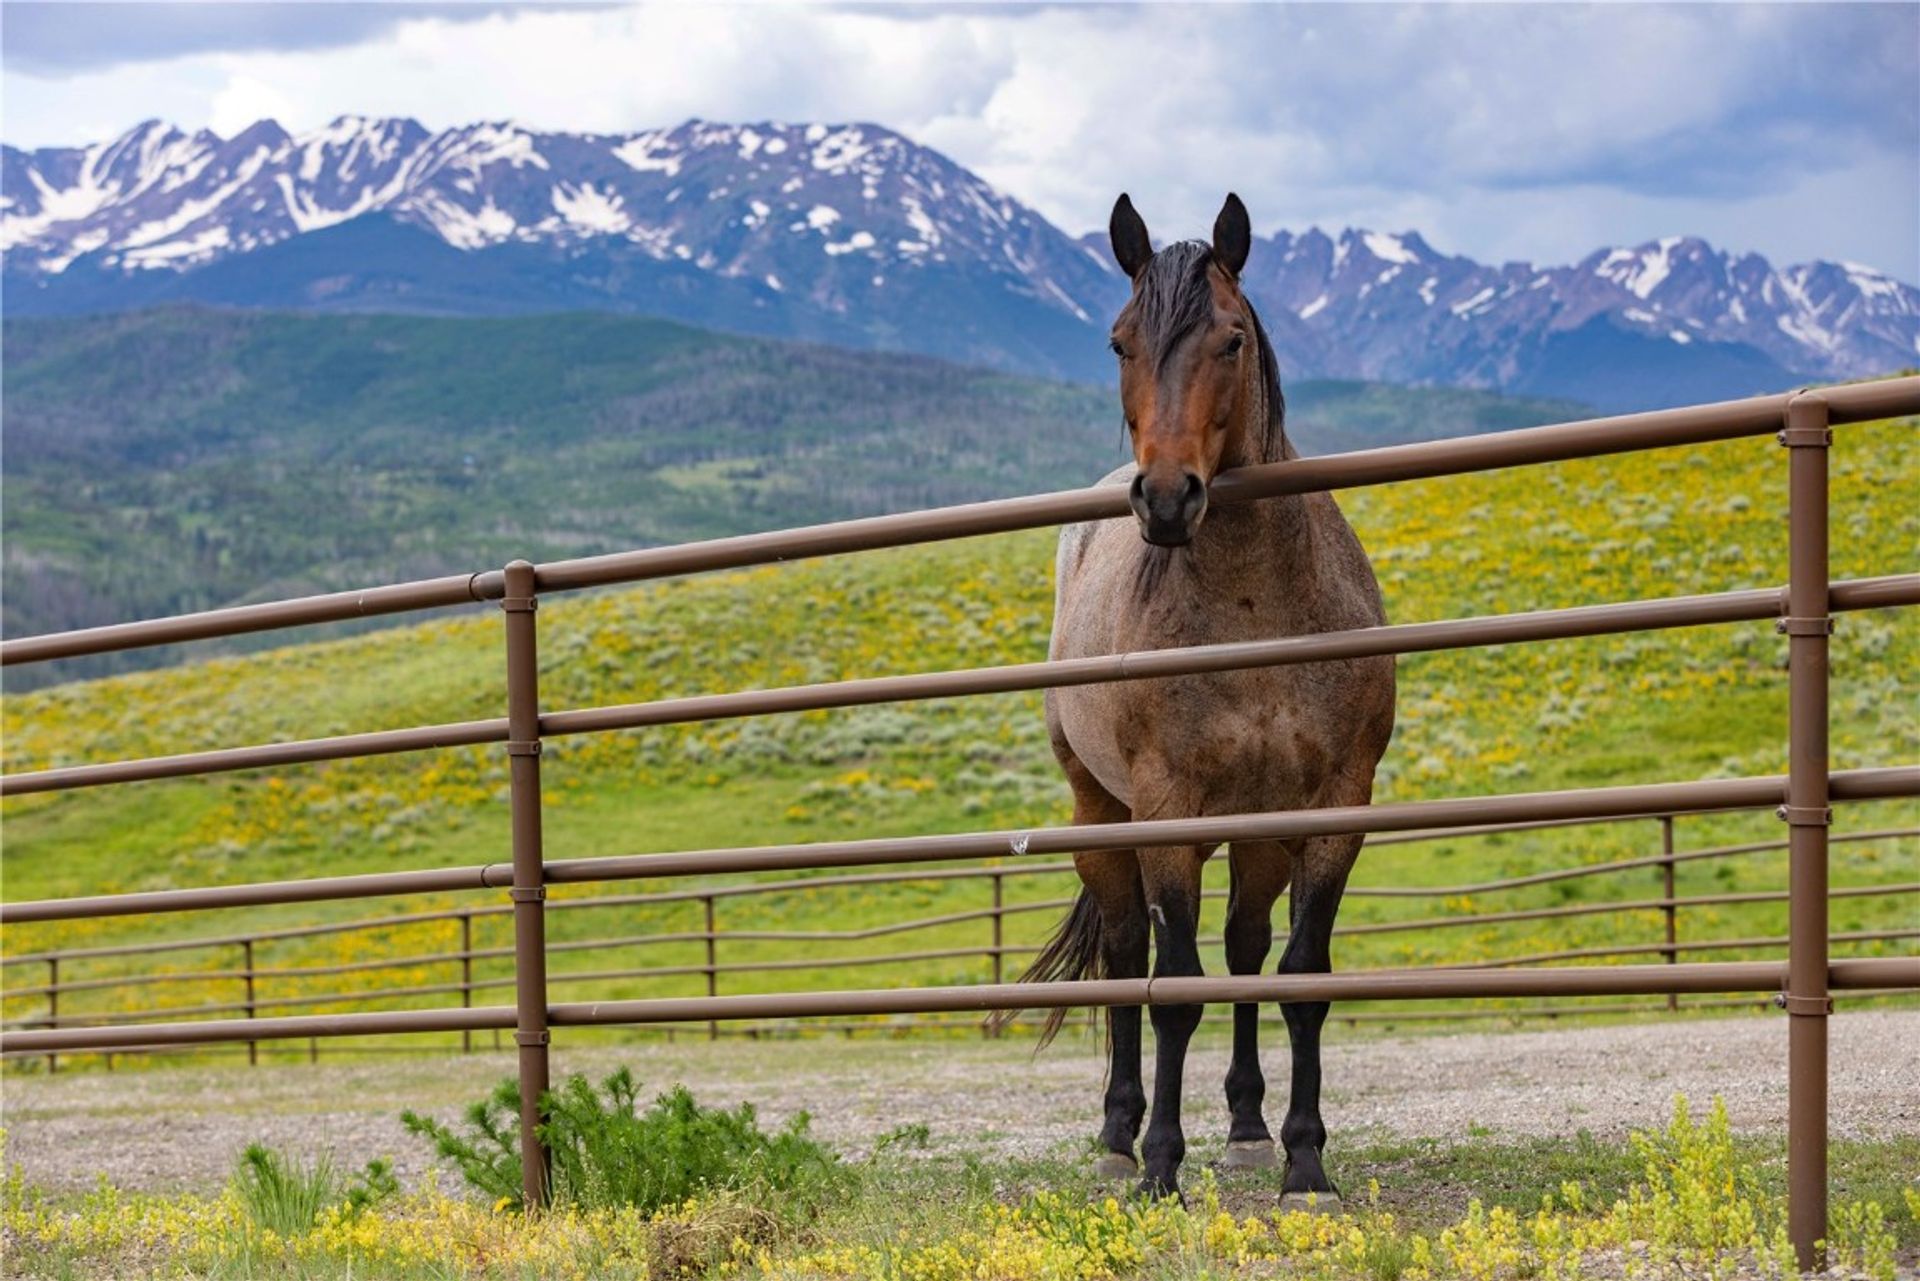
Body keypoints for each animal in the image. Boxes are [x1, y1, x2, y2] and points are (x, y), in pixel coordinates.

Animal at [1006, 190, 1397, 1206]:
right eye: (1118, 341)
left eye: (1230, 338)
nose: (1168, 497)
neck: (1256, 609)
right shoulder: (1168, 810)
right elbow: (1174, 985)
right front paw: (1159, 1168)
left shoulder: (1333, 807)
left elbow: (1300, 974)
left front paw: (1304, 1162)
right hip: (1102, 812)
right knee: (1126, 955)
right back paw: (1117, 1136)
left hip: (1253, 833)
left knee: (1246, 948)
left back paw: (1250, 1127)